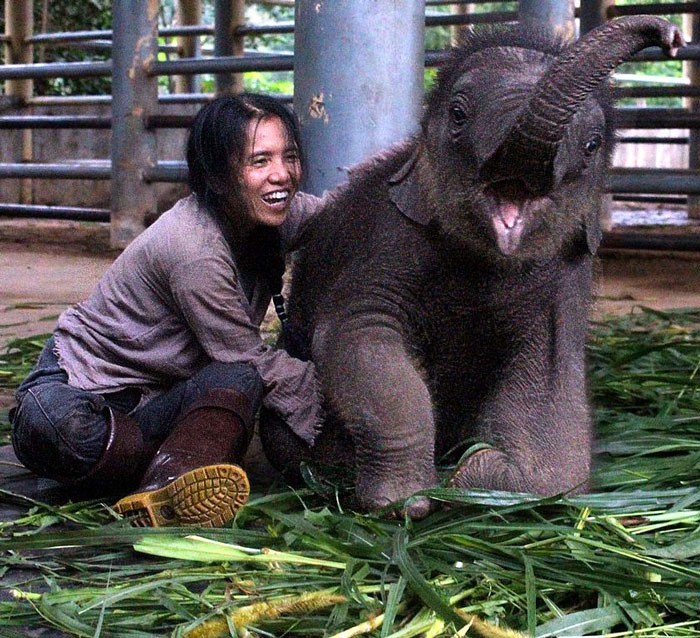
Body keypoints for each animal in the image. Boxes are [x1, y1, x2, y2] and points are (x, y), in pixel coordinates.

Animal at [260, 16, 683, 518]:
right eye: (459, 114)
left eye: (592, 144)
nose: (671, 36)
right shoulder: (384, 240)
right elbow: (360, 336)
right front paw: (405, 501)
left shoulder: (563, 278)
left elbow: (553, 411)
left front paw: (470, 479)